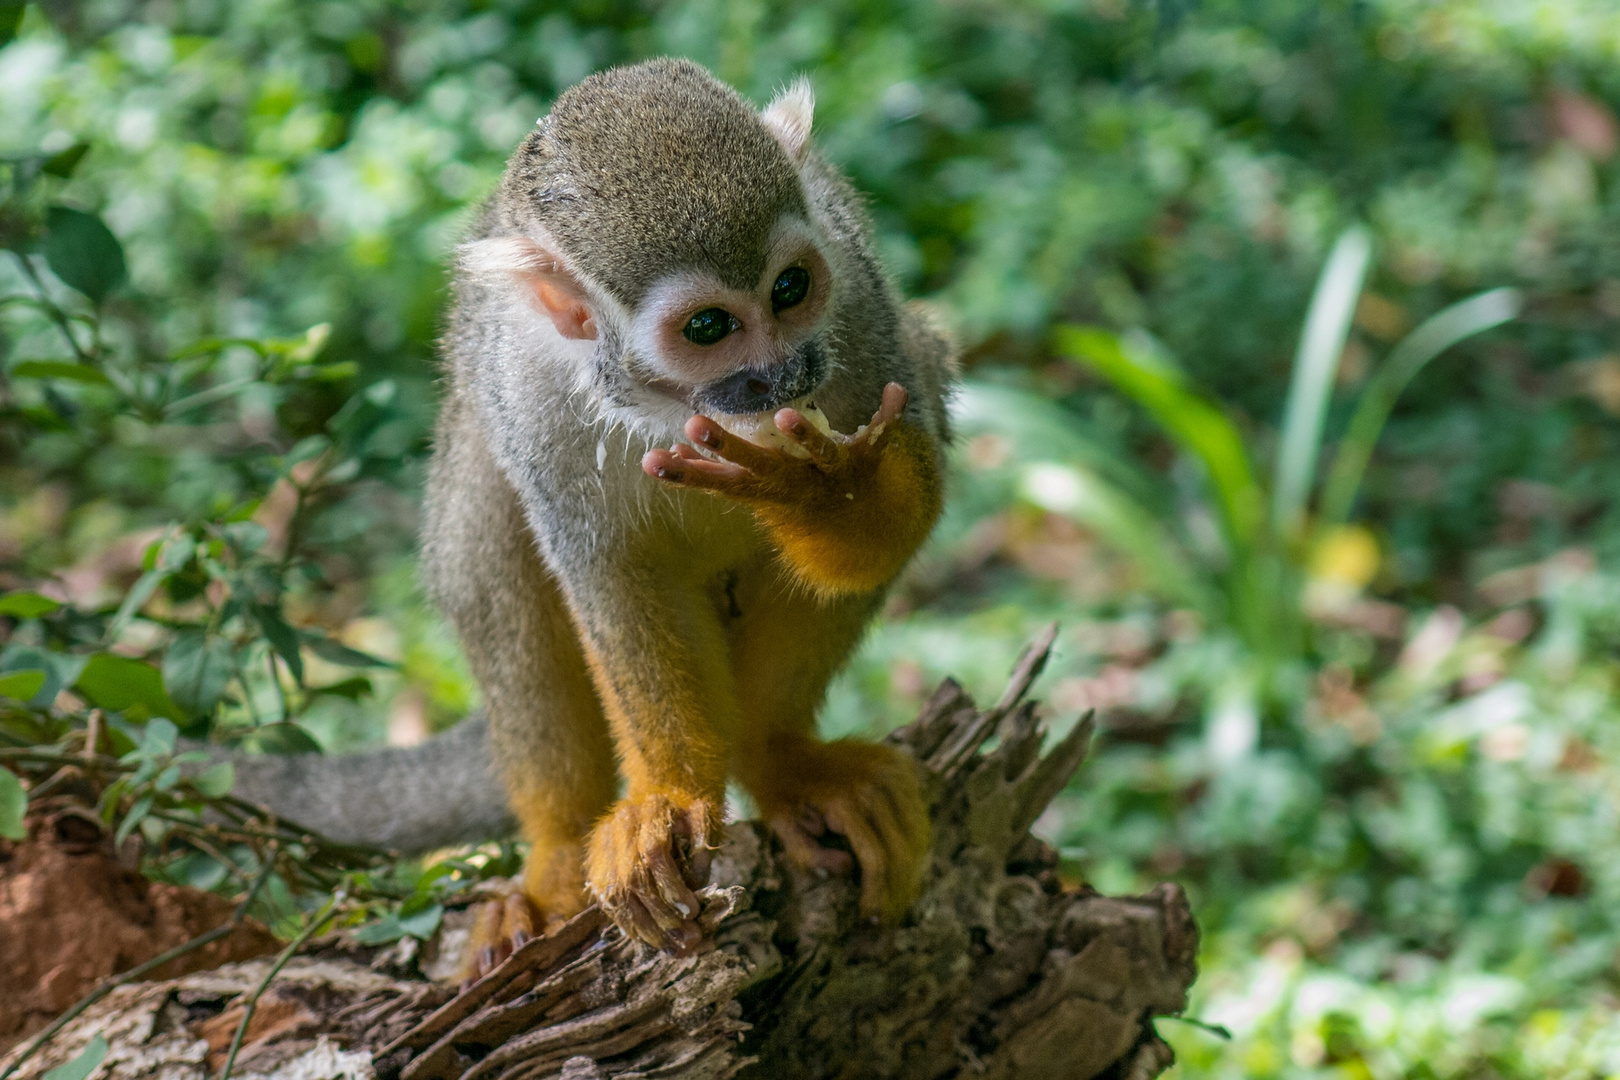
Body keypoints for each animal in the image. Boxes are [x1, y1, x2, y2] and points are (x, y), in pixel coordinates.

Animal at [225, 59, 946, 965]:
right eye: (709, 326)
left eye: (791, 289)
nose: (784, 374)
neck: (673, 408)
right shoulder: (531, 390)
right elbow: (612, 573)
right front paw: (667, 798)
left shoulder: (856, 305)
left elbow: (885, 531)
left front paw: (816, 488)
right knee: (486, 538)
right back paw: (559, 852)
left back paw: (778, 756)